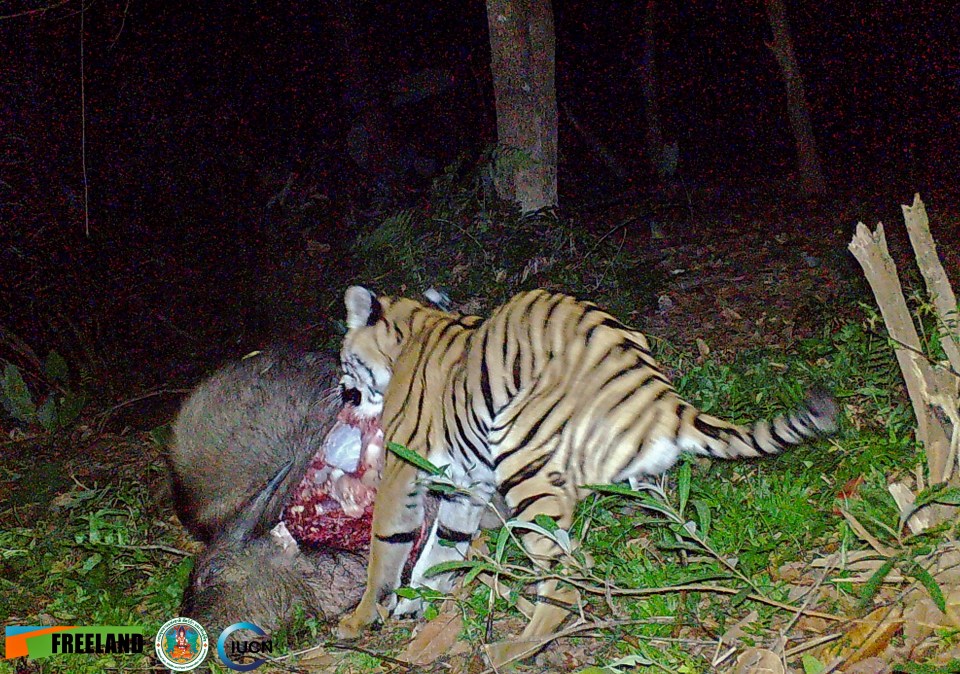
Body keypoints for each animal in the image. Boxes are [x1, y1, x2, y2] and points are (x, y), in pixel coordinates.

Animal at [334, 284, 836, 660]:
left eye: (343, 358)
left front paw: (362, 618)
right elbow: (444, 547)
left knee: (568, 576)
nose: (342, 390)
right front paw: (418, 601)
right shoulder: (466, 483)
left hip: (525, 463)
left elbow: (388, 548)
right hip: (645, 485)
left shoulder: (404, 471)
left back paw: (511, 650)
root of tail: (664, 398)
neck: (411, 334)